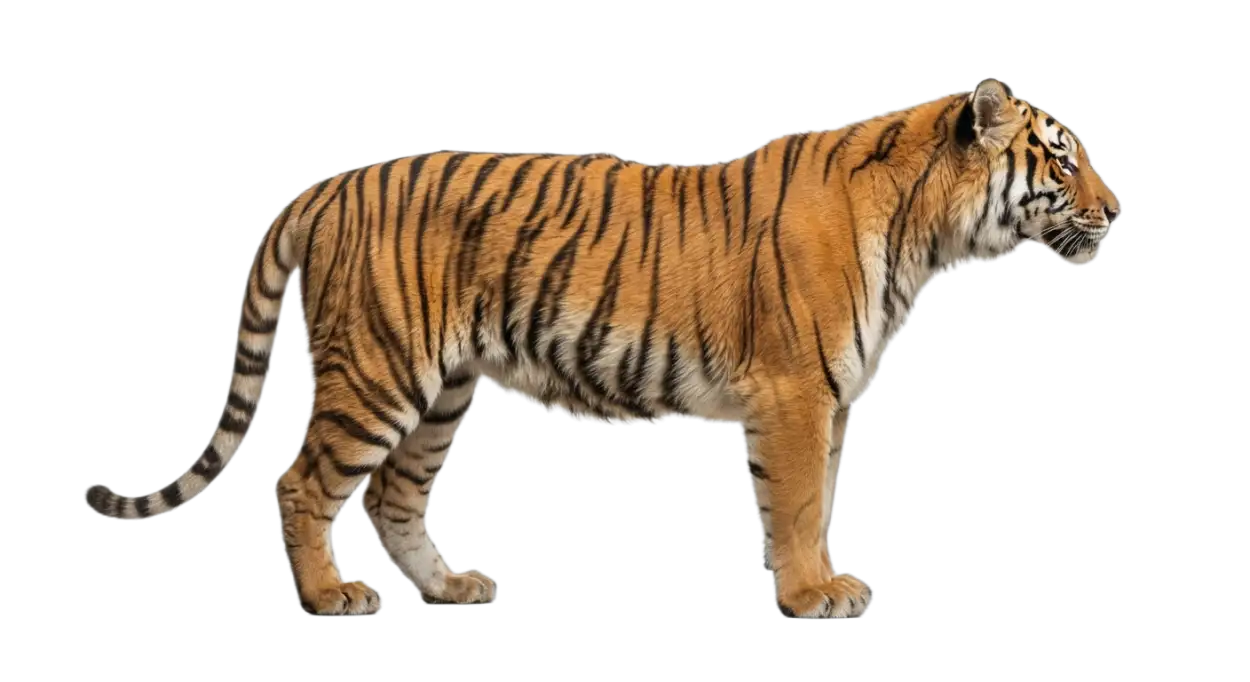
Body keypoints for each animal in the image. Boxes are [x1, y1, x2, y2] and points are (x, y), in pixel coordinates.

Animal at [81, 78, 1121, 620]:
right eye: (1062, 159)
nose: (1119, 211)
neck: (925, 233)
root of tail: (325, 184)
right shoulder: (796, 396)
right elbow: (796, 508)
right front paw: (813, 593)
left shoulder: (826, 404)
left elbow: (815, 501)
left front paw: (821, 584)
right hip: (378, 374)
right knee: (300, 482)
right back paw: (332, 595)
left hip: (441, 391)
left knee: (392, 496)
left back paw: (450, 586)